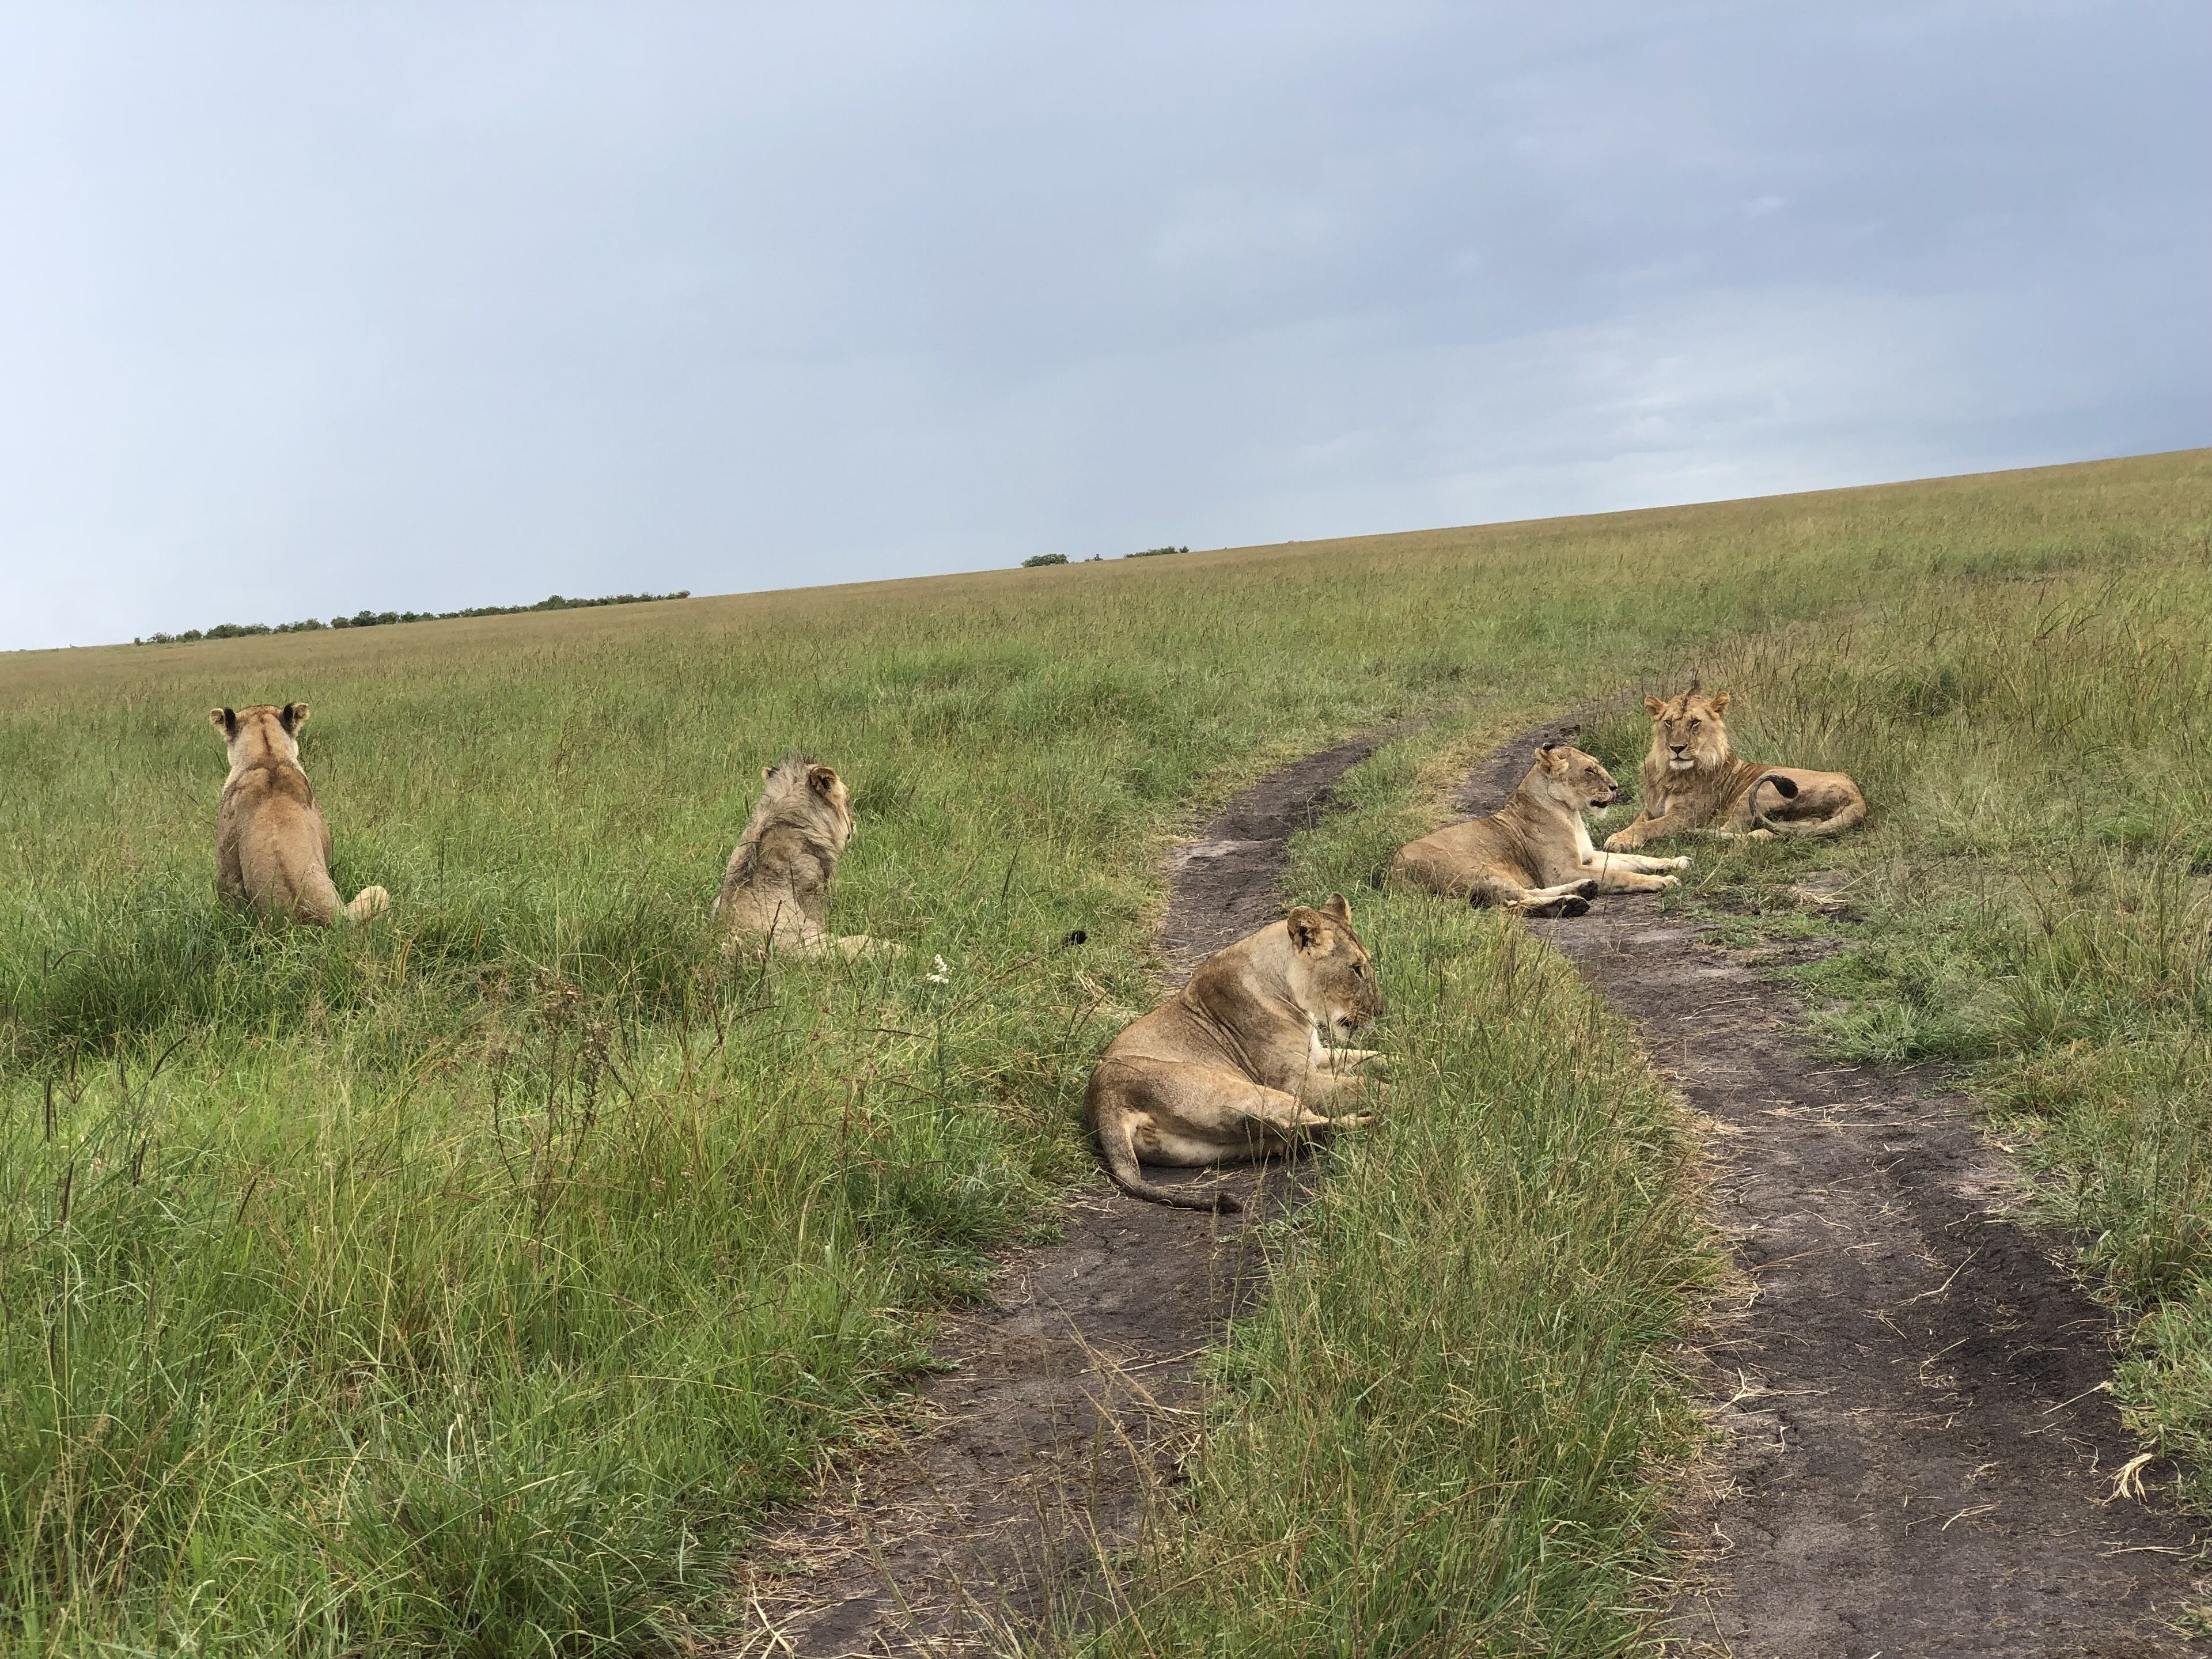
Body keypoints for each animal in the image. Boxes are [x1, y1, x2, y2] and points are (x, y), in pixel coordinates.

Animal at [1085, 894, 1381, 1213]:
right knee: (1296, 1124)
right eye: (1356, 968)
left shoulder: (1318, 1056)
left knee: (1291, 1133)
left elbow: (1377, 1058)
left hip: (1217, 1146)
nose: (1380, 1010)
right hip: (1248, 1091)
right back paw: (1378, 1119)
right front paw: (1401, 1092)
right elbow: (1365, 1086)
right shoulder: (1298, 1081)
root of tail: (1102, 1102)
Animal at [1392, 742, 1688, 916]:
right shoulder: (1561, 870)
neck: (1571, 813)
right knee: (1515, 901)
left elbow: (1636, 859)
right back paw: (1570, 904)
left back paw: (1583, 890)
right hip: (1479, 870)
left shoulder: (1587, 859)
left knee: (1522, 895)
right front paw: (1662, 881)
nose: (1615, 787)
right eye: (1589, 771)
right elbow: (1621, 876)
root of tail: (1394, 876)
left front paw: (1676, 862)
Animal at [1602, 685, 1866, 851]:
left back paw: (1694, 835)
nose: (1677, 748)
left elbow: (1650, 826)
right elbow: (1637, 823)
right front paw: (1622, 836)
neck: (1670, 771)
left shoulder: (1685, 816)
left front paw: (1618, 840)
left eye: (1695, 723)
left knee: (1731, 830)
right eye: (1668, 723)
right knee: (1783, 831)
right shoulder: (1650, 809)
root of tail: (1859, 796)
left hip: (1762, 788)